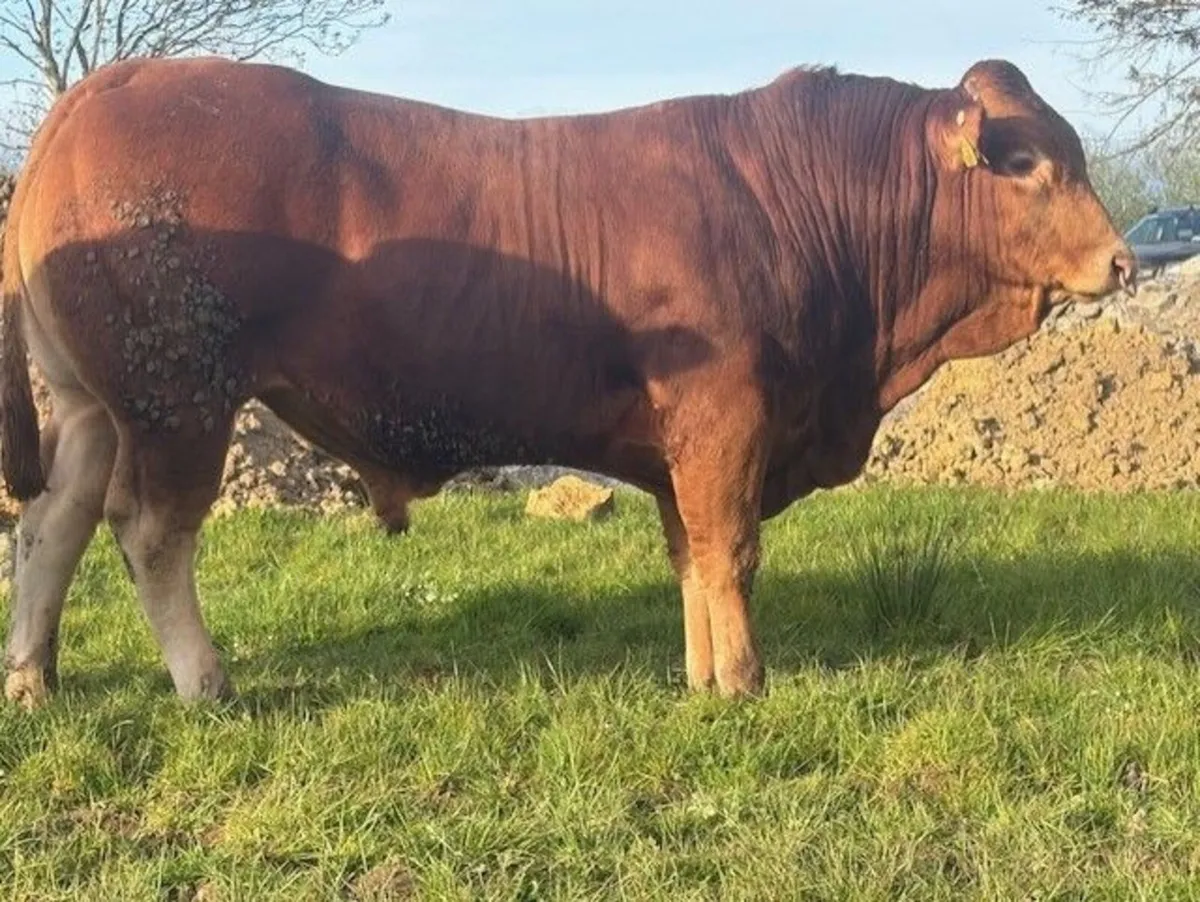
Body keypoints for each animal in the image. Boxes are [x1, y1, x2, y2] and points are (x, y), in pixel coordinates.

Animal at [0, 56, 1134, 708]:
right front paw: (743, 681)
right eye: (1028, 162)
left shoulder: (686, 441)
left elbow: (690, 554)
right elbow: (731, 551)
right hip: (178, 393)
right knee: (149, 531)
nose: (1122, 261)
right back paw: (205, 682)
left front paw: (700, 673)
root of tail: (103, 88)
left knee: (54, 522)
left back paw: (34, 679)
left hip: (95, 402)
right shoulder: (726, 416)